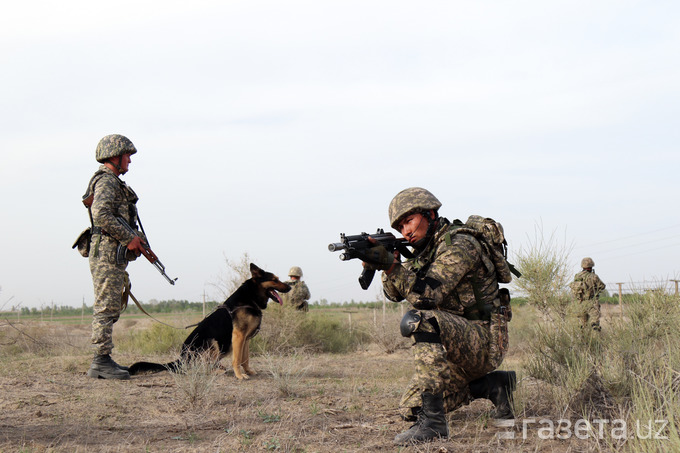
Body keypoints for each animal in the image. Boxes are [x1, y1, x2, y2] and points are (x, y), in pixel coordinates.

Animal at [127, 264, 290, 380]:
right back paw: (216, 371)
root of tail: (180, 358)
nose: (290, 286)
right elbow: (237, 359)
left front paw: (248, 371)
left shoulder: (246, 339)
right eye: (275, 279)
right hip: (212, 342)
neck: (249, 298)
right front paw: (239, 375)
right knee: (198, 368)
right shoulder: (238, 336)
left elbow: (245, 359)